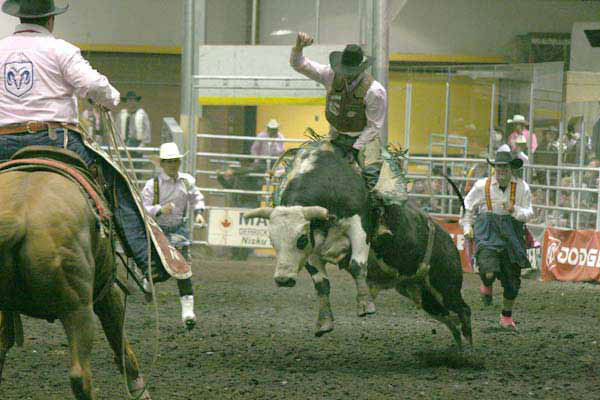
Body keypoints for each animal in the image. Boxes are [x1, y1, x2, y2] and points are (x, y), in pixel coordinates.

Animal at [0, 164, 152, 398]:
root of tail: (18, 217)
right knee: (80, 376)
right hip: (78, 310)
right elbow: (119, 340)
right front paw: (139, 389)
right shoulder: (107, 290)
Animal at [244, 142, 376, 336]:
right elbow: (322, 284)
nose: (283, 280)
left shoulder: (359, 225)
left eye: (301, 239)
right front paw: (324, 322)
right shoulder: (312, 248)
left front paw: (366, 305)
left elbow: (357, 266)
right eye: (273, 241)